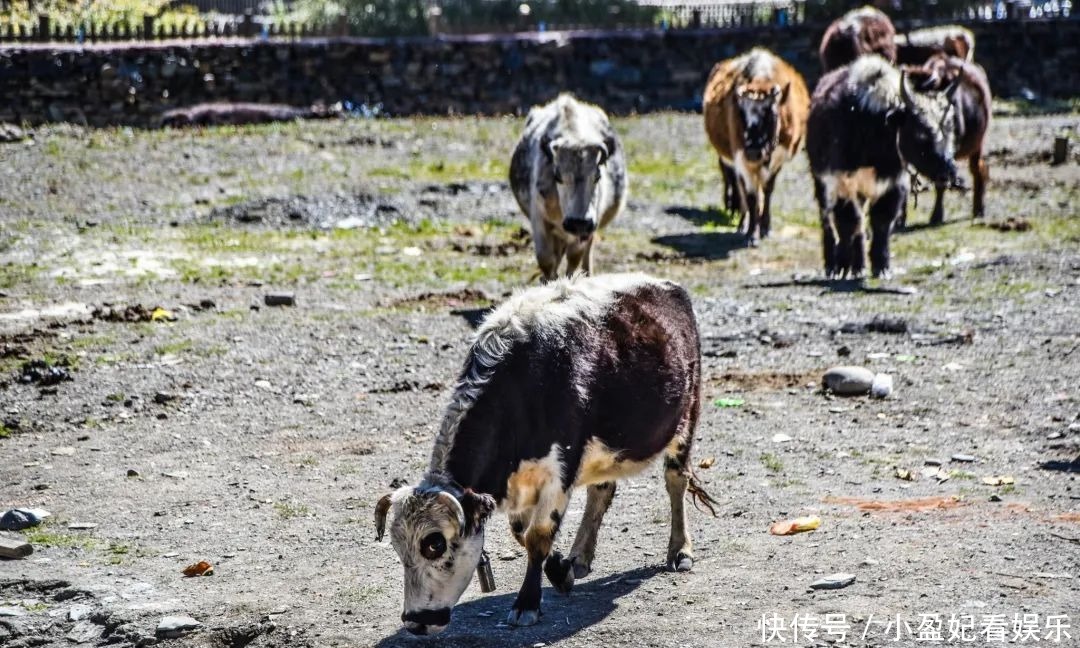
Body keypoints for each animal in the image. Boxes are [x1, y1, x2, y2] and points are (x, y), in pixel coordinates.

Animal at [373, 272, 717, 630]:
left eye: (434, 543)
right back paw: (579, 557)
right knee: (602, 490)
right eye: (397, 547)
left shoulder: (559, 472)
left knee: (676, 481)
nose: (415, 621)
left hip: (686, 418)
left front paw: (527, 602)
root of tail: (662, 284)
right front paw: (561, 569)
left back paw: (680, 551)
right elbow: (522, 533)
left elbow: (537, 535)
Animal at [509, 93, 630, 280]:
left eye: (597, 176)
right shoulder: (539, 219)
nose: (578, 222)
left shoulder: (586, 229)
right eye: (558, 177)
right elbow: (546, 259)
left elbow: (574, 259)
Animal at [704, 47, 807, 245]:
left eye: (772, 116)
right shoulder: (741, 158)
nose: (753, 152)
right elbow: (751, 195)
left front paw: (765, 227)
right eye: (741, 115)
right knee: (741, 187)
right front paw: (752, 232)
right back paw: (743, 223)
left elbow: (767, 190)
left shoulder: (778, 159)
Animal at [807, 55, 959, 278]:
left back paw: (859, 265)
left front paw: (881, 266)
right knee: (828, 218)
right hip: (820, 181)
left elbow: (881, 222)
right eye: (920, 134)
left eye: (950, 130)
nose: (948, 173)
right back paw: (833, 265)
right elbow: (848, 222)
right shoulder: (841, 180)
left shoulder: (893, 183)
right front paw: (842, 264)